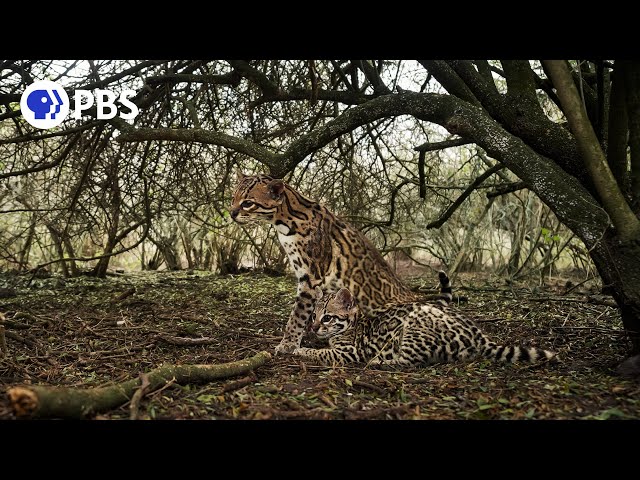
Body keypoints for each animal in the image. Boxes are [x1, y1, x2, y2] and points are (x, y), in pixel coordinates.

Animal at [230, 174, 450, 354]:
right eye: (233, 198)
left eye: (248, 203)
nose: (231, 213)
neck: (286, 221)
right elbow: (316, 310)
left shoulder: (311, 277)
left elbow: (297, 315)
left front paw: (288, 343)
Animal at [294, 286, 556, 366]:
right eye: (313, 315)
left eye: (327, 317)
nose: (313, 328)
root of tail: (481, 338)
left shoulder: (350, 351)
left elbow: (323, 352)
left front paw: (300, 349)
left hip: (415, 323)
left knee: (408, 362)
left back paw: (379, 362)